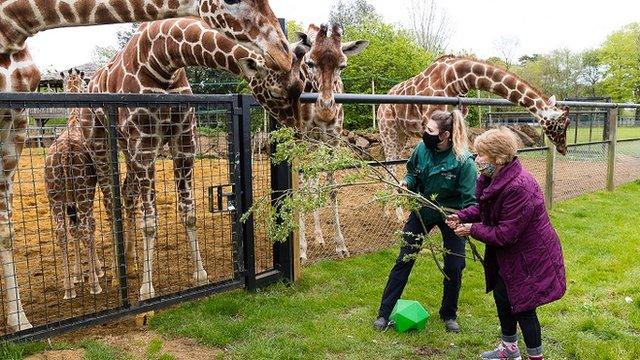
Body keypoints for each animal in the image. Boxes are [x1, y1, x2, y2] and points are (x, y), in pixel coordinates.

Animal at [43, 69, 104, 300]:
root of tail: (65, 155)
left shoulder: (69, 202)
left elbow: (74, 230)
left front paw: (78, 276)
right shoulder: (86, 195)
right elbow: (89, 227)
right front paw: (96, 270)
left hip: (55, 197)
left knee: (61, 232)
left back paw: (68, 288)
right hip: (82, 193)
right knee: (85, 228)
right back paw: (94, 285)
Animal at [81, 19, 304, 300]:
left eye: (301, 88)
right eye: (275, 92)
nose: (295, 131)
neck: (162, 60)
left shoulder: (184, 141)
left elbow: (188, 212)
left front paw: (200, 276)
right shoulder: (144, 142)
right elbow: (150, 221)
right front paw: (147, 290)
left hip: (126, 147)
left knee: (127, 195)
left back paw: (130, 263)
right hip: (99, 142)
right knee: (111, 203)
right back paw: (113, 273)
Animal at [292, 24, 368, 262]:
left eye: (342, 65)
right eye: (310, 63)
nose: (326, 107)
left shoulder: (333, 141)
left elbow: (332, 189)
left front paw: (340, 245)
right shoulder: (302, 141)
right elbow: (299, 191)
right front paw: (302, 251)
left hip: (318, 146)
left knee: (313, 183)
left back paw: (319, 237)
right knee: (304, 182)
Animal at [376, 54, 568, 221]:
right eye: (561, 125)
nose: (564, 149)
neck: (457, 79)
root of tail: (380, 106)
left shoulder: (459, 120)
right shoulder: (429, 120)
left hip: (402, 134)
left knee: (390, 163)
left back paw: (387, 208)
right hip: (388, 128)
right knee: (390, 163)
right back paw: (395, 212)